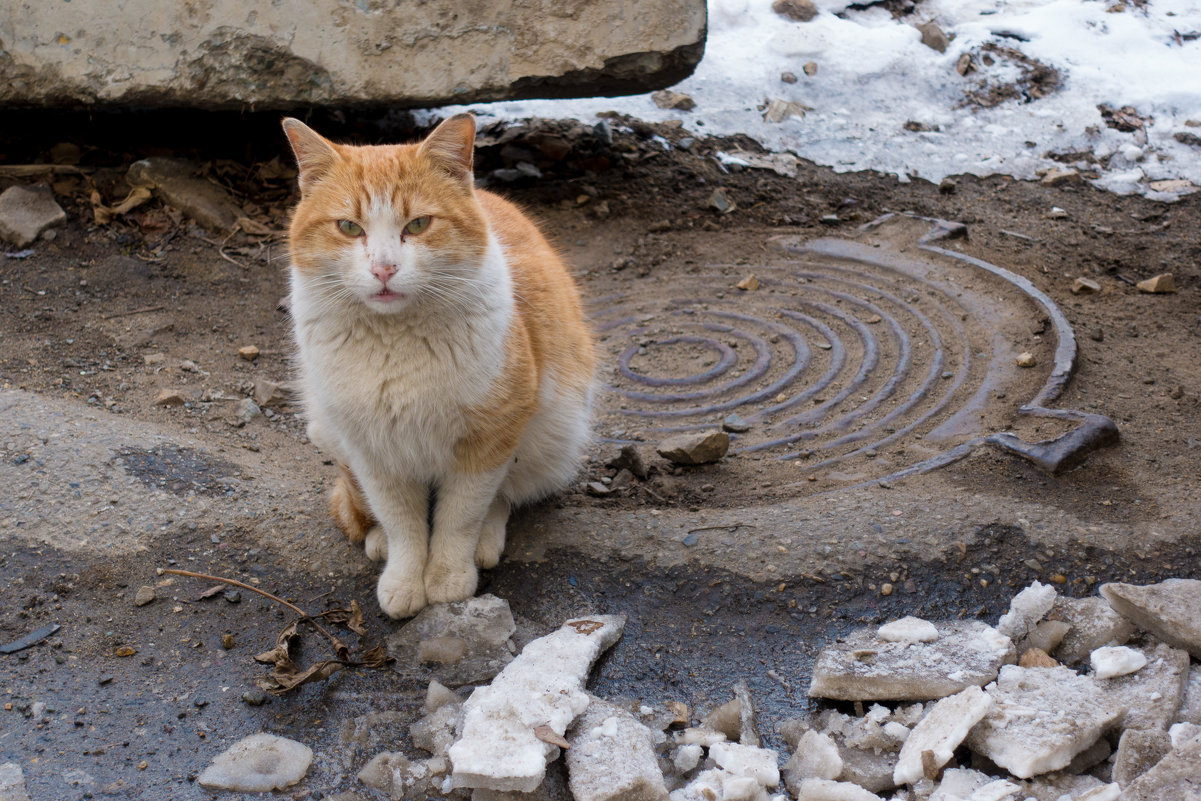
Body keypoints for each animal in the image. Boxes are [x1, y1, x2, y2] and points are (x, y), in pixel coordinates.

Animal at [282, 112, 600, 619]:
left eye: (418, 224)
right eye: (349, 227)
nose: (384, 268)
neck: (396, 342)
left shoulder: (489, 438)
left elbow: (460, 515)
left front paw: (449, 577)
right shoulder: (372, 449)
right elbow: (403, 522)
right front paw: (404, 577)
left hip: (554, 435)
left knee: (506, 495)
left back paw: (486, 541)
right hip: (326, 428)